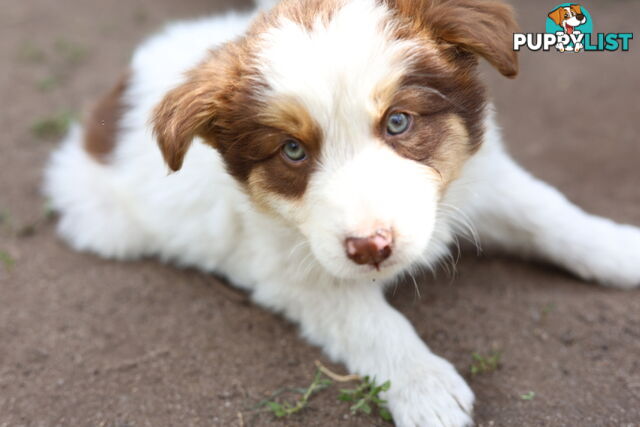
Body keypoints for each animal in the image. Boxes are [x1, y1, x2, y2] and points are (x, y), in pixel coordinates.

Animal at [45, 0, 640, 424]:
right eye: (292, 150)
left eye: (398, 122)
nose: (372, 247)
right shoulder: (298, 270)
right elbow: (374, 324)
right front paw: (426, 388)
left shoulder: (483, 176)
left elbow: (548, 213)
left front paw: (619, 249)